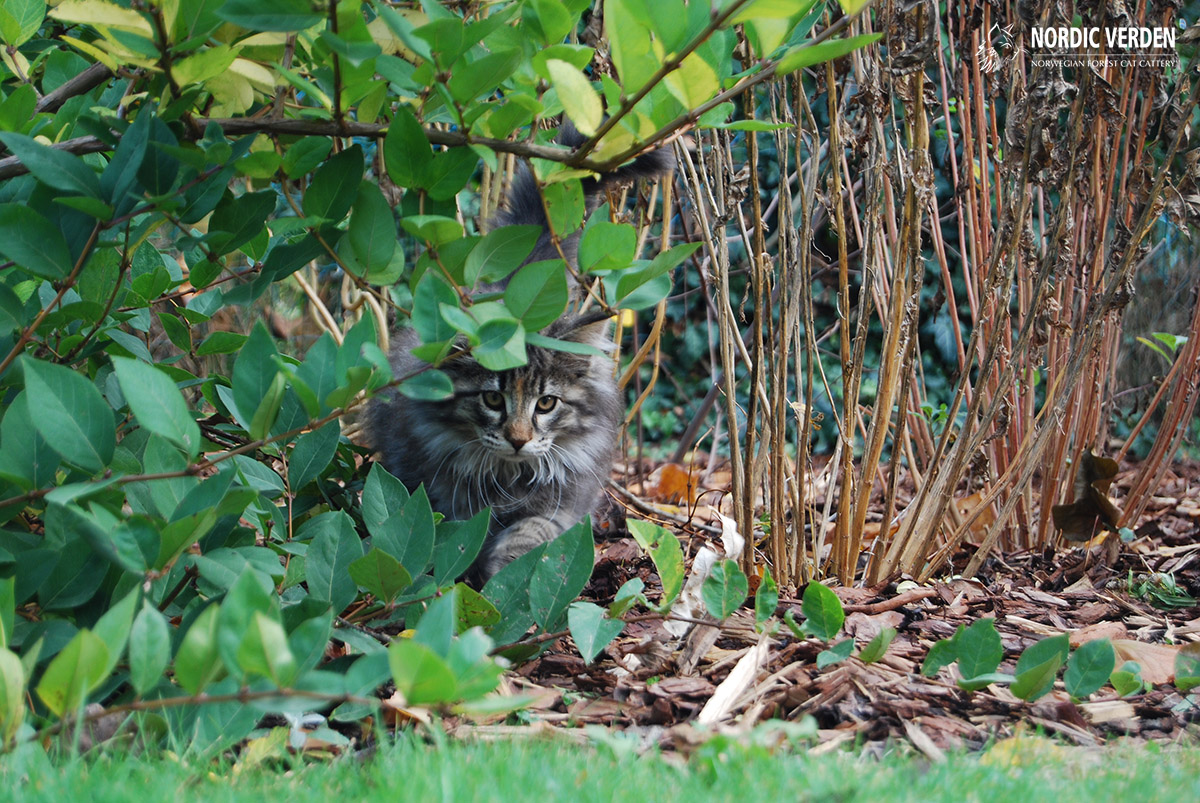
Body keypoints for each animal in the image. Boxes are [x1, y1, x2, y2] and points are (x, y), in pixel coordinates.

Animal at [368, 129, 674, 581]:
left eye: (546, 403)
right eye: (493, 398)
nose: (518, 439)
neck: (508, 474)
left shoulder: (563, 503)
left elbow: (531, 536)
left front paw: (511, 576)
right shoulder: (443, 494)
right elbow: (456, 537)